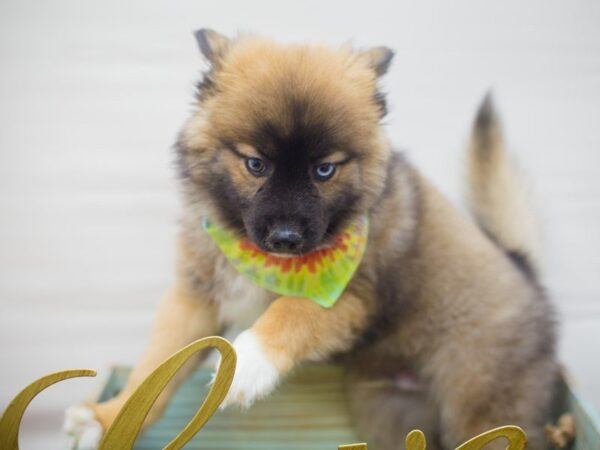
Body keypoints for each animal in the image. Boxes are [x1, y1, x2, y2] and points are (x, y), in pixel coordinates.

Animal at [65, 29, 556, 448]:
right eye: (256, 164)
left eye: (324, 169)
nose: (285, 239)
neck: (258, 259)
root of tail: (522, 268)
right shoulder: (196, 298)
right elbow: (157, 366)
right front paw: (107, 420)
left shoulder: (349, 295)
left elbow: (290, 311)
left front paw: (247, 365)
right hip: (386, 407)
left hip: (483, 407)